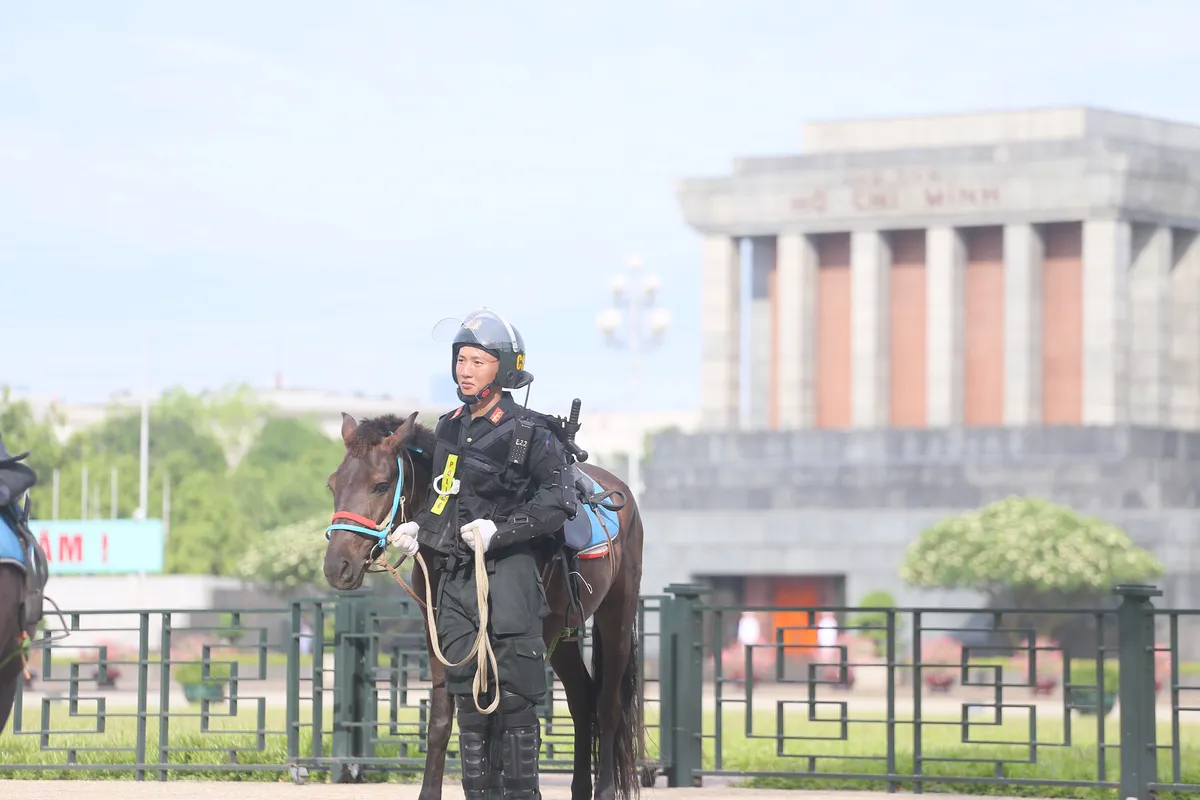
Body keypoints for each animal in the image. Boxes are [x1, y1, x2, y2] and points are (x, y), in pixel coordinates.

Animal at [319, 412, 643, 800]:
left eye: (380, 485)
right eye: (333, 484)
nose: (337, 566)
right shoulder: (441, 635)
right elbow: (445, 718)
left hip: (616, 617)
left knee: (608, 705)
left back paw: (604, 788)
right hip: (561, 635)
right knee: (582, 697)